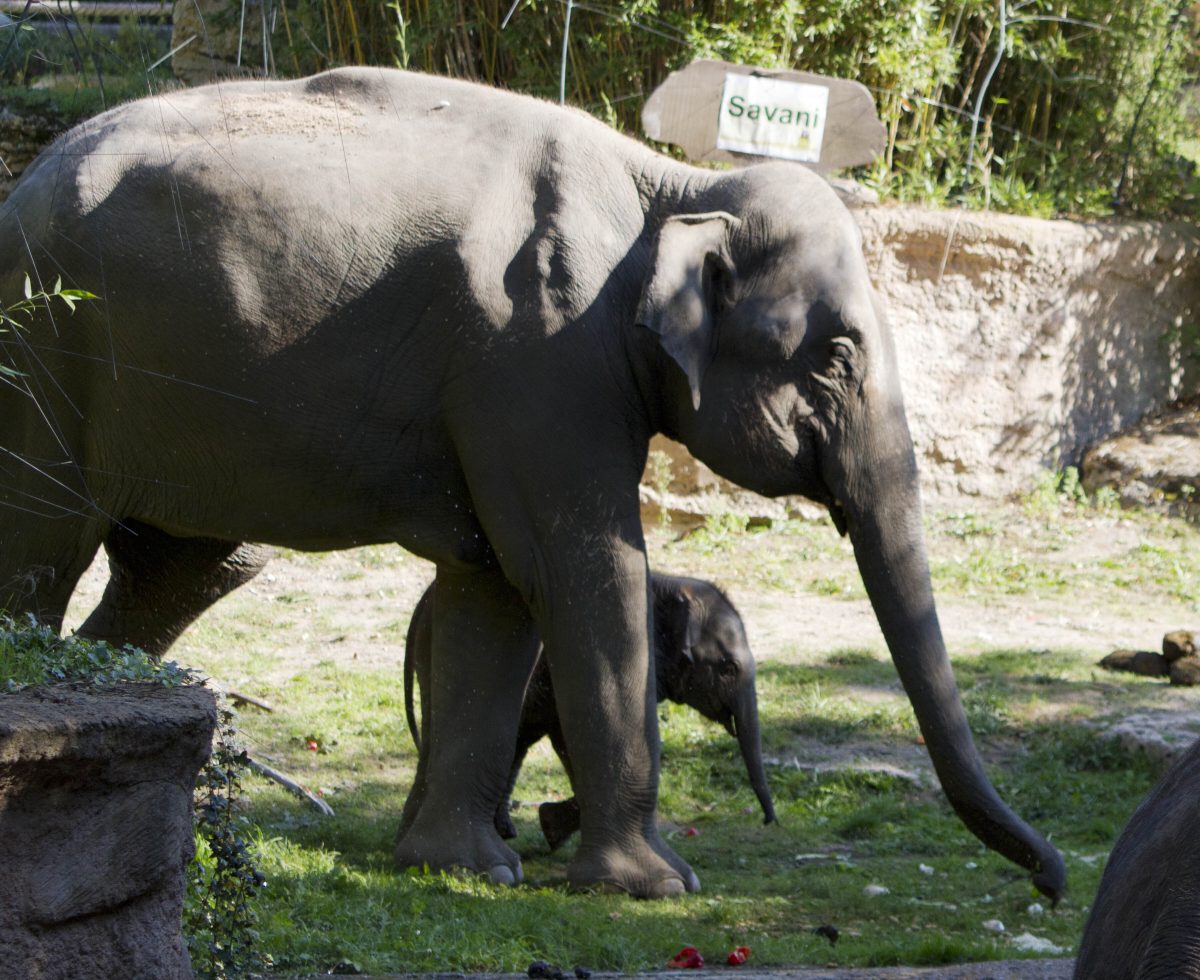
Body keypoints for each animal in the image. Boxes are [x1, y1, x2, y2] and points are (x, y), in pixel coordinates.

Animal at [403, 573, 777, 849]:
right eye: (728, 668)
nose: (768, 821)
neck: (672, 583)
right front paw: (552, 829)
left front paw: (552, 829)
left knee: (515, 742)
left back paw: (503, 832)